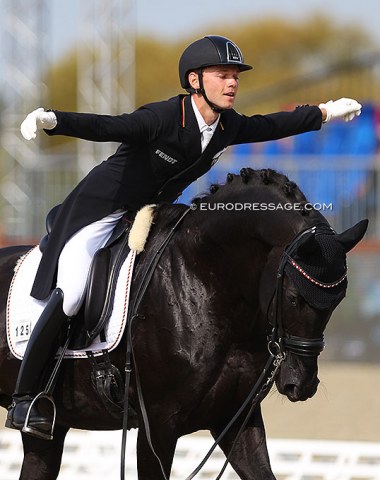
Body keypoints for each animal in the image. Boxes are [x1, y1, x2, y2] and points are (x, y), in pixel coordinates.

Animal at [0, 169, 368, 480]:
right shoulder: (157, 426)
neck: (205, 278)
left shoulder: (235, 418)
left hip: (49, 433)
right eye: (293, 298)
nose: (301, 385)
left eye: (338, 300)